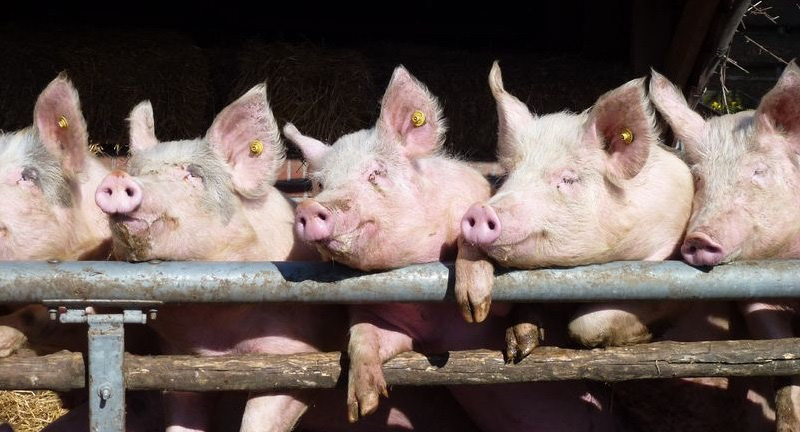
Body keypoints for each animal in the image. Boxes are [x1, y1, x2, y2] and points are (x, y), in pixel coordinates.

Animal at [286, 65, 619, 431]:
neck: (433, 320)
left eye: (375, 172)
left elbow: (474, 243)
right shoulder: (392, 324)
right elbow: (363, 336)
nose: (308, 208)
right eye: (319, 184)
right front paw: (363, 405)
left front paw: (497, 326)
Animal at [457, 62, 694, 359]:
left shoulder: (673, 271)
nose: (479, 211)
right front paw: (515, 346)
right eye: (508, 174)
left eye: (568, 179)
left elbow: (586, 323)